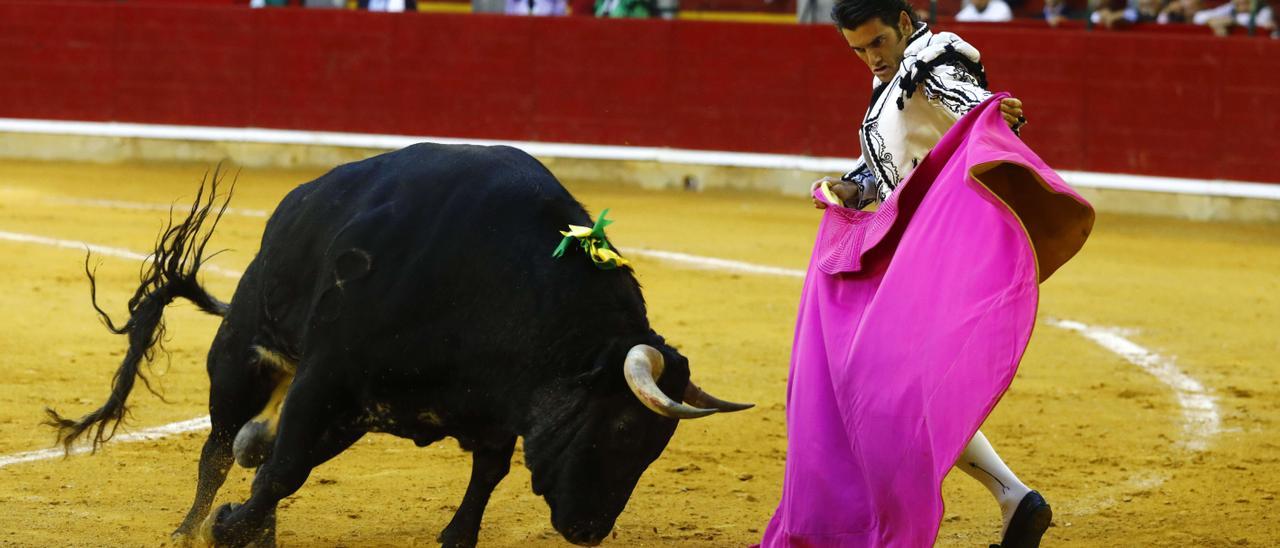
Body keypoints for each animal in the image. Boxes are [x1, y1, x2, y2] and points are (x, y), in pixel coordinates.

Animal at [49, 142, 747, 548]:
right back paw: (191, 529)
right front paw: (224, 528)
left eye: (658, 445)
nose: (589, 530)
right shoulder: (328, 375)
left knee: (257, 450)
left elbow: (487, 474)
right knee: (222, 451)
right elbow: (283, 467)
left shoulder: (497, 405)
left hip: (345, 415)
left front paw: (456, 537)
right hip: (245, 358)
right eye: (626, 430)